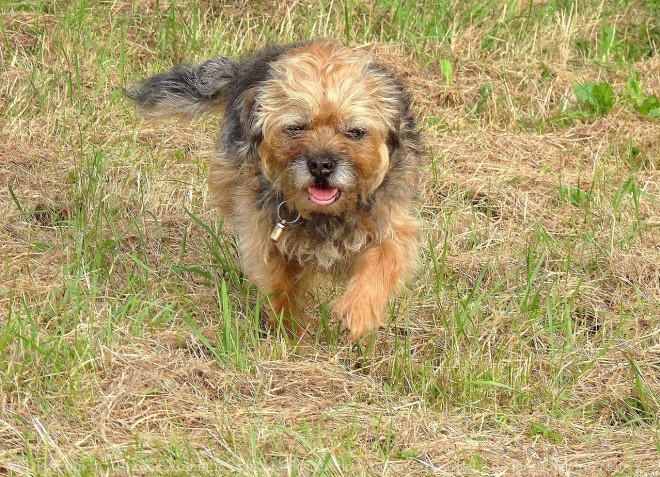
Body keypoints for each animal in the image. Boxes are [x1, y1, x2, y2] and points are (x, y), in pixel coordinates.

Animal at [127, 40, 426, 338]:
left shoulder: (392, 227)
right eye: (296, 127)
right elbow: (282, 287)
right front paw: (288, 333)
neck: (324, 215)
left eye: (355, 132)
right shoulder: (264, 236)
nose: (321, 165)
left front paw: (358, 311)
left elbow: (383, 260)